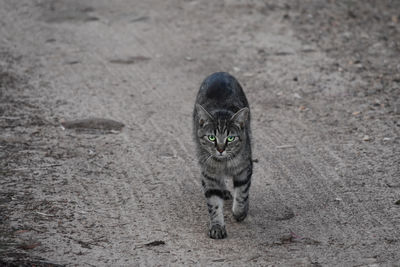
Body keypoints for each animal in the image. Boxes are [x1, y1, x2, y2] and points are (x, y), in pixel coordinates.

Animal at [192, 72, 252, 240]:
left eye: (230, 138)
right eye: (211, 137)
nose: (220, 149)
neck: (223, 162)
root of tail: (219, 72)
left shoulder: (245, 168)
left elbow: (242, 193)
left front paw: (239, 212)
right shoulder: (209, 175)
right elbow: (214, 203)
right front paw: (217, 226)